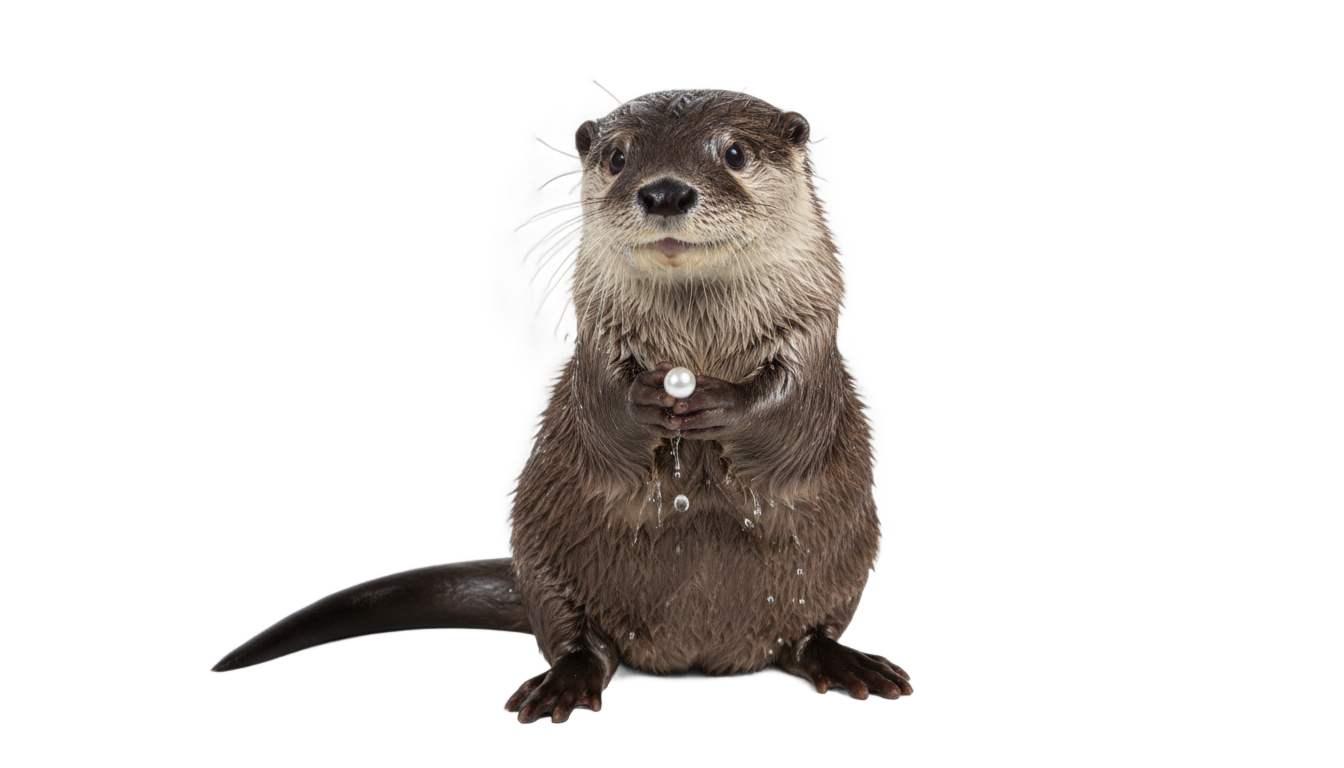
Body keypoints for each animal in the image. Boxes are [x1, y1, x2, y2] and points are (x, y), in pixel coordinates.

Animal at [213, 88, 911, 720]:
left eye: (735, 153)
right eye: (618, 157)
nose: (665, 192)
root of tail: (695, 655)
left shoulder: (813, 343)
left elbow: (793, 414)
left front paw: (723, 403)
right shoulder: (593, 349)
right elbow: (600, 407)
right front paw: (644, 401)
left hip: (843, 562)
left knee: (806, 634)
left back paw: (850, 664)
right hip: (548, 557)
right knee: (576, 637)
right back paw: (561, 684)